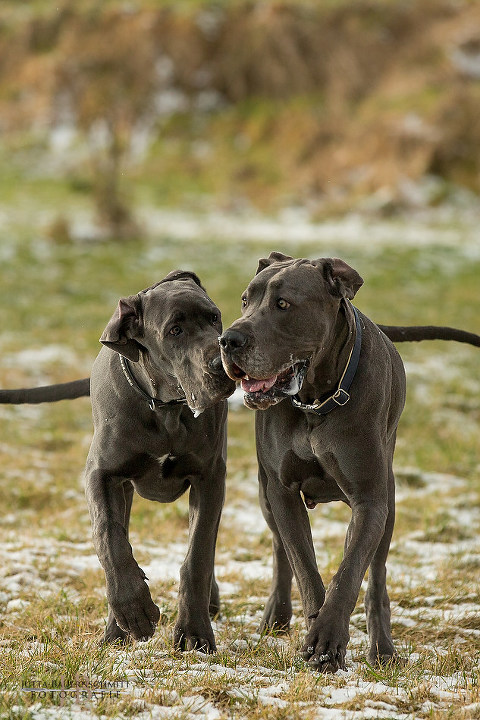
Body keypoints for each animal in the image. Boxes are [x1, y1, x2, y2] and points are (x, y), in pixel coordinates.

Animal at [219, 251, 479, 672]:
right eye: (245, 301)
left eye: (283, 304)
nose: (228, 339)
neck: (316, 400)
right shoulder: (281, 492)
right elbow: (305, 567)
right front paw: (316, 634)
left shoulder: (370, 501)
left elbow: (350, 572)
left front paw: (327, 642)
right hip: (264, 495)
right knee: (280, 550)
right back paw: (275, 617)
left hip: (388, 503)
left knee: (376, 575)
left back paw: (383, 648)